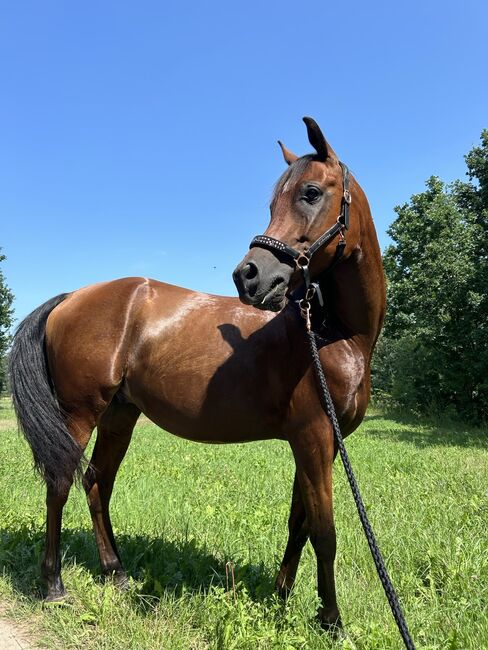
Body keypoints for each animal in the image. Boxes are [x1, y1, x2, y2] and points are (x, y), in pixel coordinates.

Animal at [8, 116, 386, 628]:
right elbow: (324, 531)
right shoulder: (313, 436)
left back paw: (116, 572)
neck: (332, 333)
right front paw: (331, 620)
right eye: (274, 202)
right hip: (78, 414)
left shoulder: (318, 442)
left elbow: (300, 522)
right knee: (60, 483)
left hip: (119, 416)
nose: (249, 275)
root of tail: (72, 297)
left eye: (310, 192)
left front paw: (281, 594)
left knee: (96, 484)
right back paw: (53, 586)